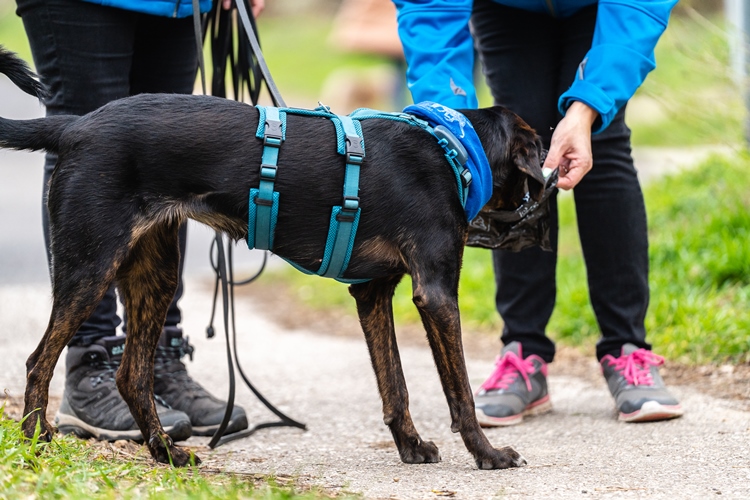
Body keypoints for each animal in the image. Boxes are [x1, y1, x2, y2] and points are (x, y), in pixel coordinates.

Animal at [0, 47, 544, 468]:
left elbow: (395, 386)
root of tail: (75, 127)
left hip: (155, 272)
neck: (455, 151)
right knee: (38, 361)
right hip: (90, 266)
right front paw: (487, 454)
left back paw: (167, 453)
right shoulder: (435, 294)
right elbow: (460, 392)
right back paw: (35, 443)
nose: (540, 240)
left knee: (131, 376)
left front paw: (410, 446)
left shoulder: (371, 293)